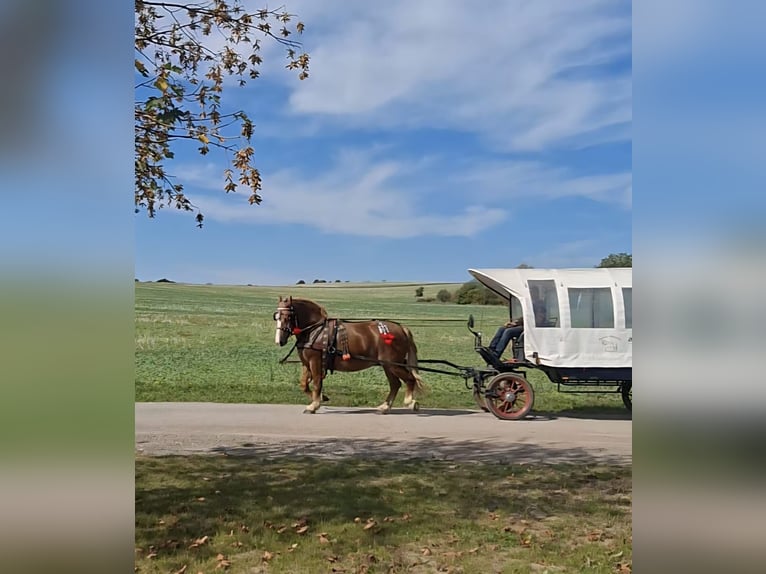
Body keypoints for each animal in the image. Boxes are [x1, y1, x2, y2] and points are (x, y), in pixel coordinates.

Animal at [273, 296, 426, 414]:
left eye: (287, 317)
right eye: (277, 317)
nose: (279, 341)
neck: (315, 330)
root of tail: (401, 328)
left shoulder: (315, 361)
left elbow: (316, 383)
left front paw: (314, 405)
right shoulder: (307, 363)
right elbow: (304, 384)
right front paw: (322, 398)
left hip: (393, 364)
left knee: (409, 379)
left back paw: (410, 402)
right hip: (387, 365)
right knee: (395, 384)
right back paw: (385, 406)